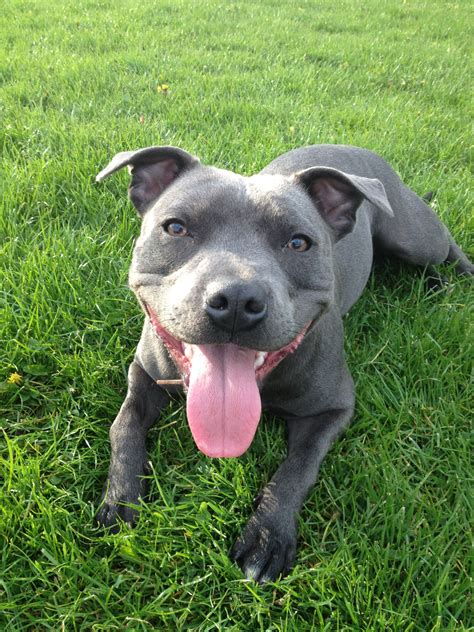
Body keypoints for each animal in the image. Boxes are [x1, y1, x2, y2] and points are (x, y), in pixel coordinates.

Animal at [94, 143, 472, 584]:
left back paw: (454, 277)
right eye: (175, 228)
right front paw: (121, 496)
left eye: (298, 243)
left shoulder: (333, 409)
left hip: (412, 236)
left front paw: (268, 534)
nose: (236, 300)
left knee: (445, 246)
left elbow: (298, 468)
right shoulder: (144, 374)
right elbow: (124, 425)